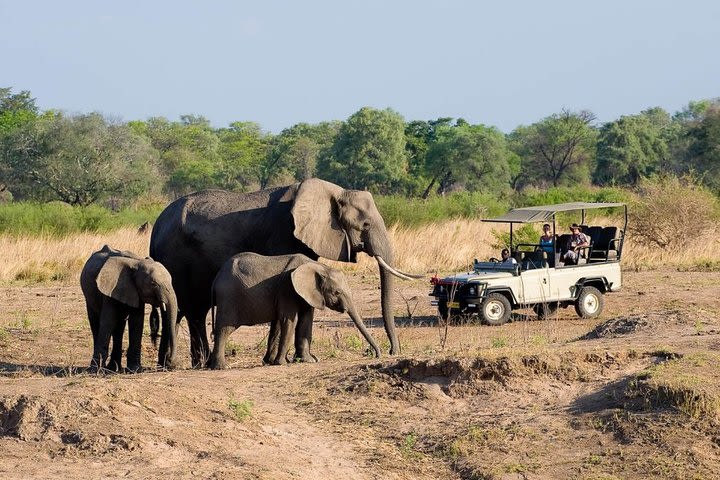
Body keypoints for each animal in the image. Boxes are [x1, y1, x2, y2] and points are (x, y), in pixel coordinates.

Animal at [79, 246, 179, 374]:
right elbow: (108, 322)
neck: (136, 263)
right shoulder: (109, 290)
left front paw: (135, 369)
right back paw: (103, 368)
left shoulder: (136, 291)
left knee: (119, 327)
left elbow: (136, 322)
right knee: (96, 322)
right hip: (88, 295)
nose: (171, 363)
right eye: (153, 284)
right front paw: (95, 370)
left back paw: (113, 368)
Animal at [208, 253, 380, 370]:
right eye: (336, 292)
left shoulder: (308, 294)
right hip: (229, 298)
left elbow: (304, 321)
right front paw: (282, 363)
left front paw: (308, 360)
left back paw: (209, 365)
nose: (375, 354)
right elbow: (289, 320)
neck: (319, 267)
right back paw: (221, 367)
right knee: (224, 328)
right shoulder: (287, 289)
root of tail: (216, 278)